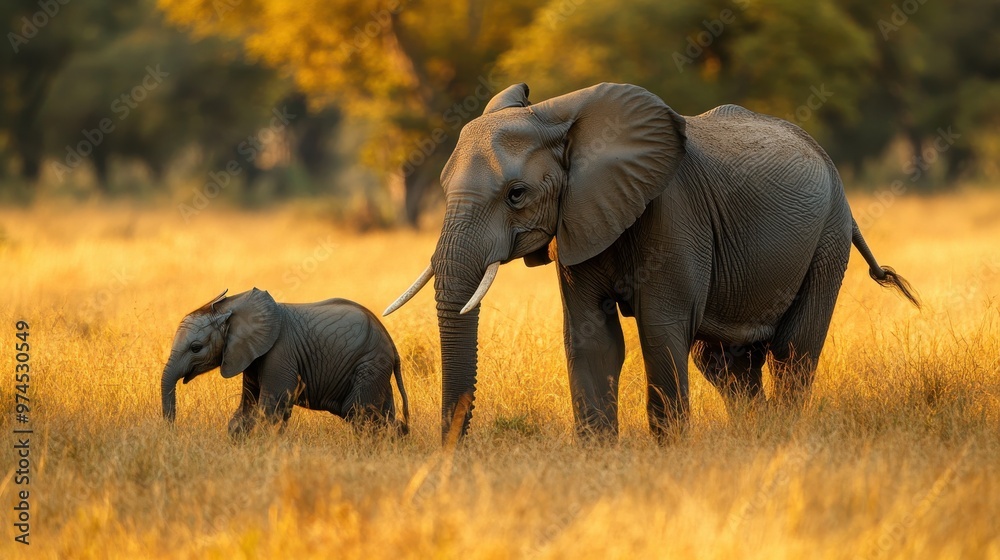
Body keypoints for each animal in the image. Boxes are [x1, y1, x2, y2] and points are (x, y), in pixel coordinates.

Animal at [162, 288, 409, 437]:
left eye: (196, 348)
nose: (172, 430)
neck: (231, 308)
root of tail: (391, 344)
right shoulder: (250, 354)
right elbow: (247, 408)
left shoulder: (279, 352)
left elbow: (272, 408)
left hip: (369, 363)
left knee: (357, 412)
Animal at [384, 82, 918, 443]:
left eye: (517, 194)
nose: (448, 451)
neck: (564, 118)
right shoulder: (581, 218)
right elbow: (590, 335)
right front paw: (600, 456)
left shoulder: (672, 212)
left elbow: (660, 329)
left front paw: (671, 454)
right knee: (722, 362)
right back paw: (756, 437)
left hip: (828, 238)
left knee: (792, 352)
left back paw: (781, 436)